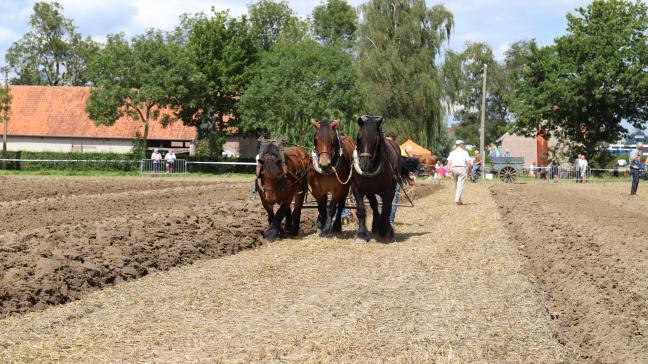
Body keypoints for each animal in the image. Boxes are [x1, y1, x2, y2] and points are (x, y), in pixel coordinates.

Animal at [352, 115, 402, 243]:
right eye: (359, 137)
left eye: (376, 140)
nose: (364, 165)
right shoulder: (358, 188)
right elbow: (361, 209)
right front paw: (362, 234)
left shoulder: (387, 190)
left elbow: (386, 208)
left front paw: (385, 231)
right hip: (370, 190)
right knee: (374, 205)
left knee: (387, 206)